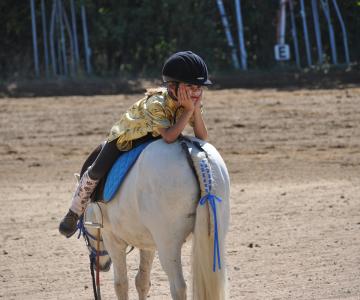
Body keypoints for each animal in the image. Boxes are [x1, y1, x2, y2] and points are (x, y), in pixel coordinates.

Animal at [86, 137, 229, 298]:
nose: (101, 266)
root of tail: (195, 154)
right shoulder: (148, 243)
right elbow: (142, 281)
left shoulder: (112, 239)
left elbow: (121, 284)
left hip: (168, 246)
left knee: (178, 287)